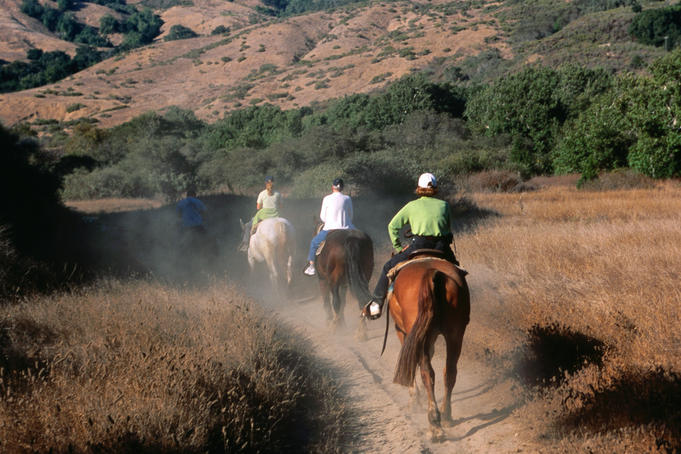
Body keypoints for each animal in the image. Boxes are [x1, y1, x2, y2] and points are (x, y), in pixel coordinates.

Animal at [388, 258, 468, 442]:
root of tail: (433, 273)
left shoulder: (402, 332)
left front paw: (414, 399)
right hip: (455, 333)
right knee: (449, 372)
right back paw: (446, 416)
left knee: (427, 372)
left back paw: (434, 424)